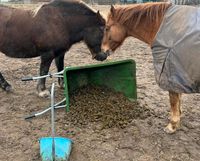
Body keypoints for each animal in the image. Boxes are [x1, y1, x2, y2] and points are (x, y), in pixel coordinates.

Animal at [101, 2, 200, 133]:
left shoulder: (170, 72)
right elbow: (178, 98)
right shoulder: (178, 74)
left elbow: (173, 99)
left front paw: (172, 125)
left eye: (107, 28)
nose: (100, 53)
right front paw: (177, 118)